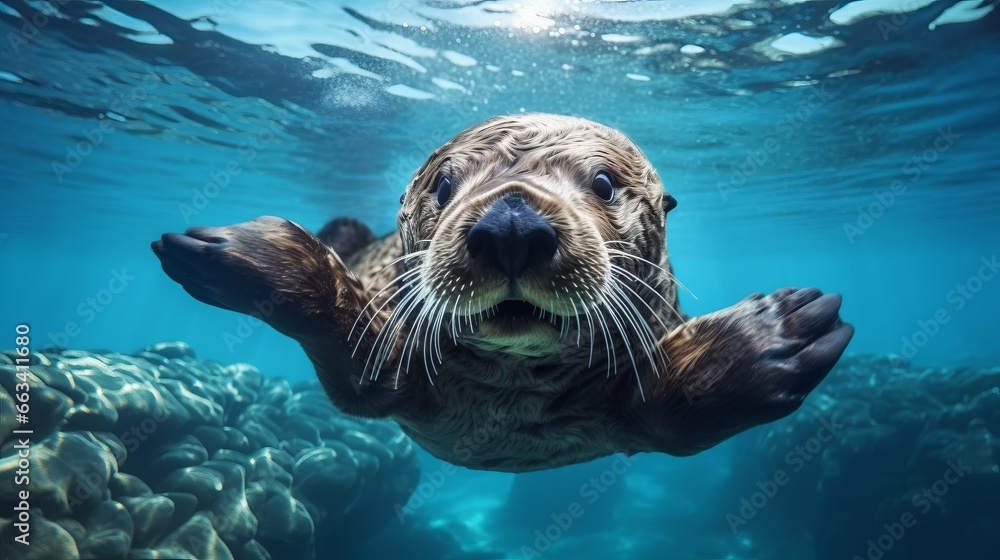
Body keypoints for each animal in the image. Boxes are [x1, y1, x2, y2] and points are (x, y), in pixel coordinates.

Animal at [152, 113, 853, 473]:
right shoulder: (386, 365)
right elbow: (351, 360)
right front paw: (236, 253)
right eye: (442, 186)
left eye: (603, 183)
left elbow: (669, 412)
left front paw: (780, 334)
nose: (511, 225)